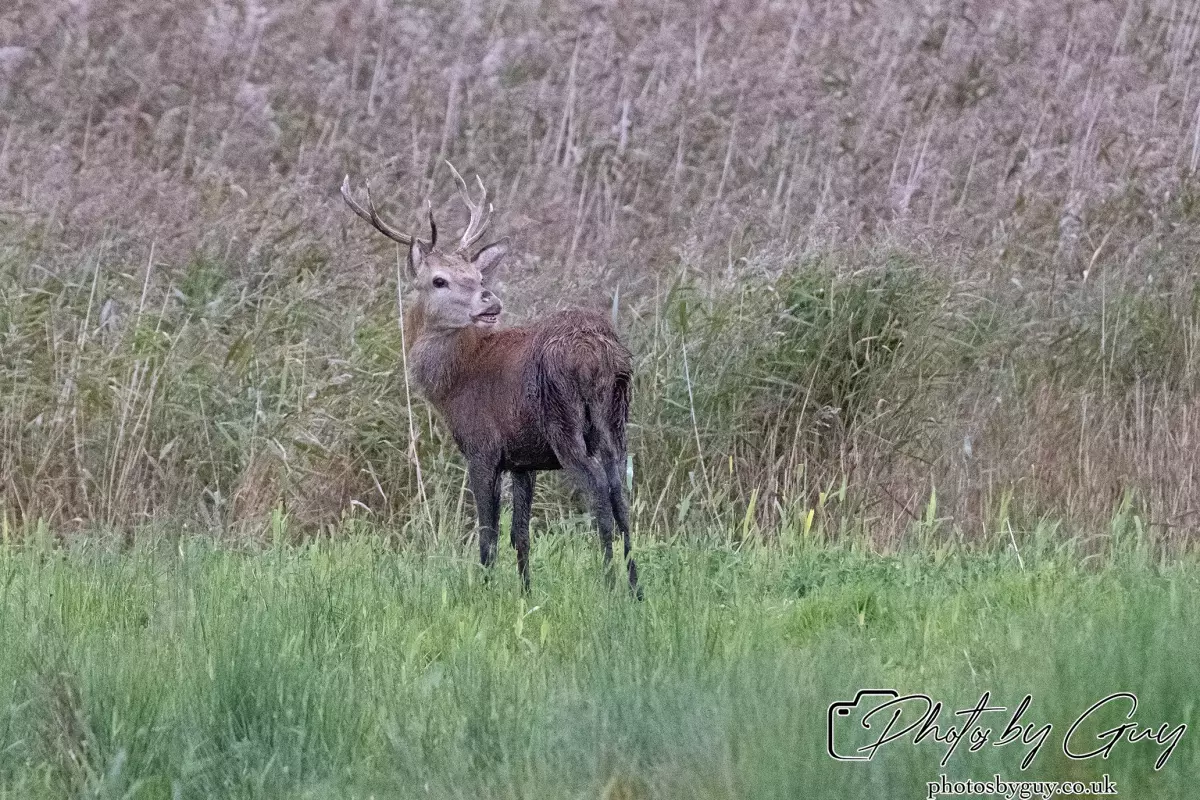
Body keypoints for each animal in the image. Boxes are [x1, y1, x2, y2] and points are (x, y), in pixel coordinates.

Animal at [341, 164, 641, 597]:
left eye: (477, 274)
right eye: (440, 280)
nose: (490, 299)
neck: (454, 383)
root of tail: (598, 351)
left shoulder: (481, 446)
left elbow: (488, 533)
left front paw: (483, 592)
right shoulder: (523, 459)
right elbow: (521, 534)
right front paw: (526, 594)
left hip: (564, 422)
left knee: (599, 490)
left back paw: (610, 584)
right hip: (615, 418)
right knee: (621, 492)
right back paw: (636, 588)